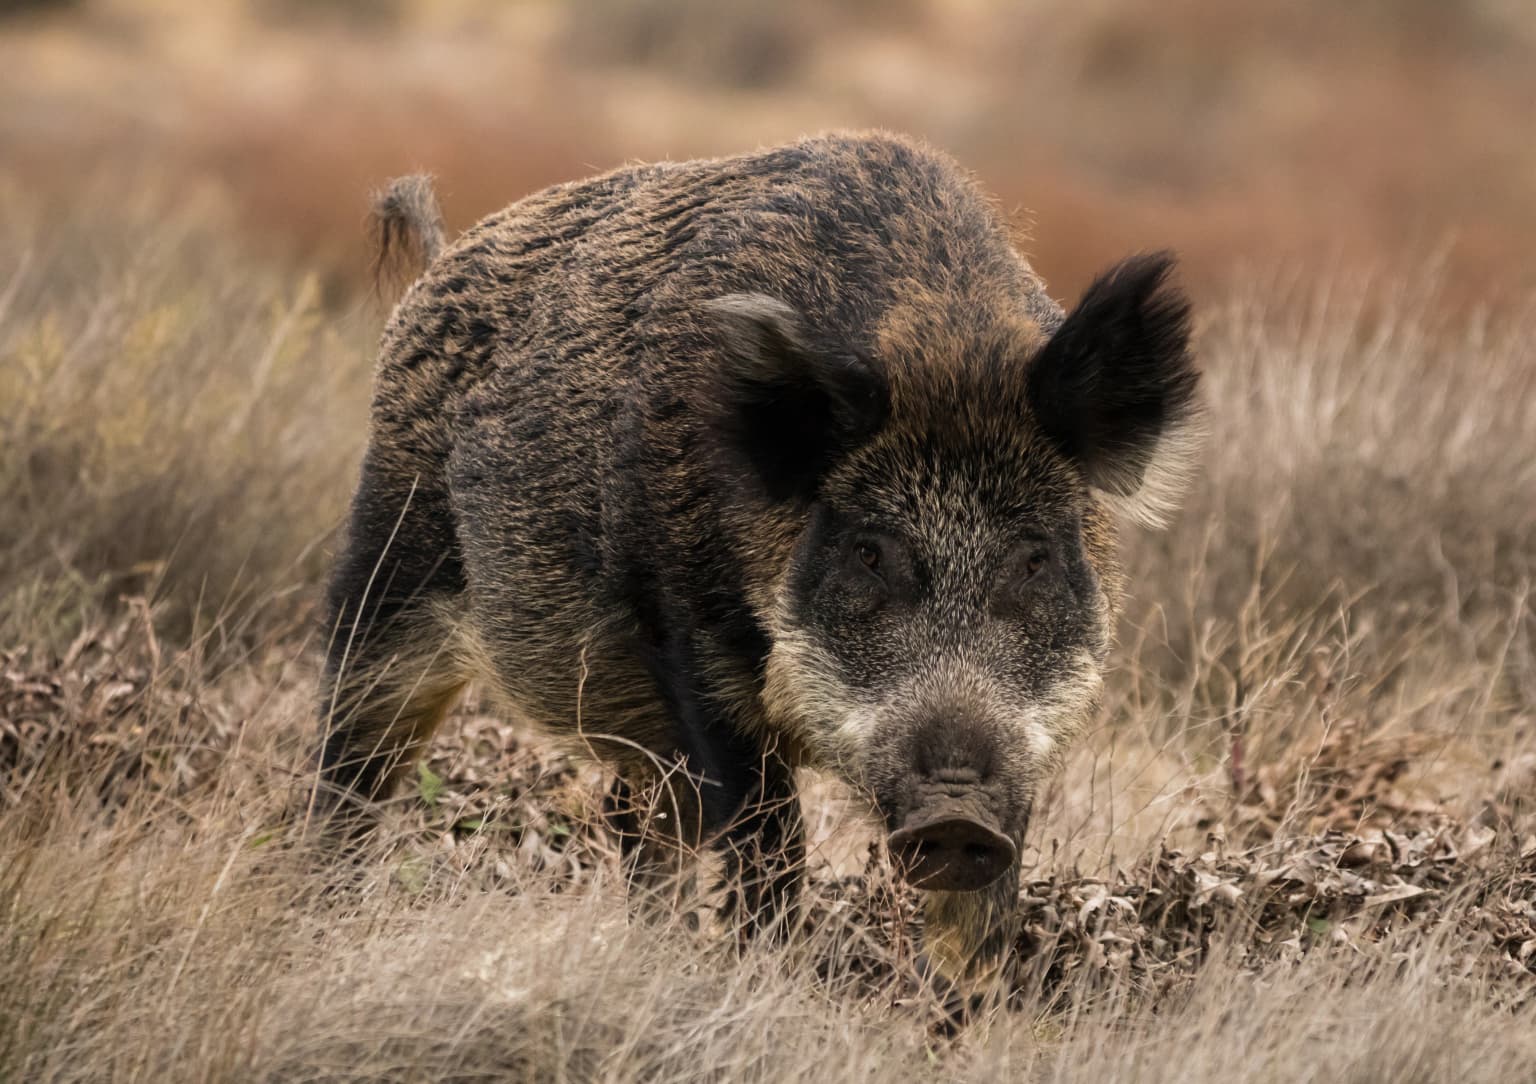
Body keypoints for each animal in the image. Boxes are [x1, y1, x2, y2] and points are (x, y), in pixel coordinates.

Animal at [316, 131, 1201, 990]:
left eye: (1033, 558)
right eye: (868, 551)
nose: (954, 815)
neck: (938, 346)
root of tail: (436, 266)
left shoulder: (1029, 738)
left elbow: (985, 904)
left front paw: (961, 1008)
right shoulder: (690, 650)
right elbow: (769, 842)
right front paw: (765, 978)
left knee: (635, 822)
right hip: (390, 560)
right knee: (353, 755)